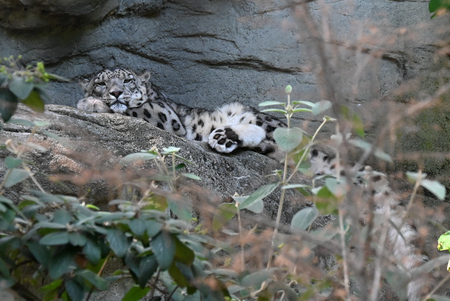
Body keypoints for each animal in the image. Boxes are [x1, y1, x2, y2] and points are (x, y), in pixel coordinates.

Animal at [74, 67, 284, 157]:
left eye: (127, 80)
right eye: (101, 84)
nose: (116, 92)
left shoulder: (164, 112)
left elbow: (137, 108)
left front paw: (89, 102)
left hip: (255, 117)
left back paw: (223, 135)